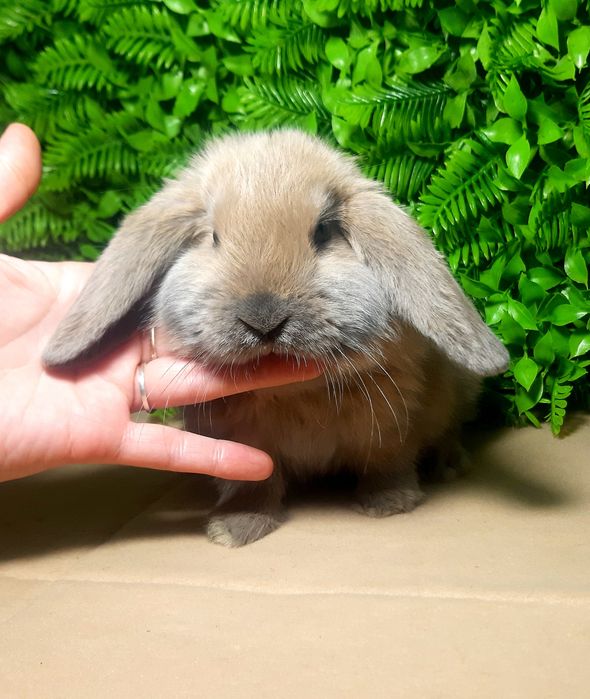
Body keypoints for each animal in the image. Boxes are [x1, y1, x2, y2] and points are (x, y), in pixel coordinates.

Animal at [43, 129, 509, 547]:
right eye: (213, 237)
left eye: (323, 232)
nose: (263, 319)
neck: (295, 395)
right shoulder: (243, 446)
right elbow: (252, 484)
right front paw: (234, 529)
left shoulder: (394, 419)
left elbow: (387, 463)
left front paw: (390, 503)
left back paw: (449, 464)